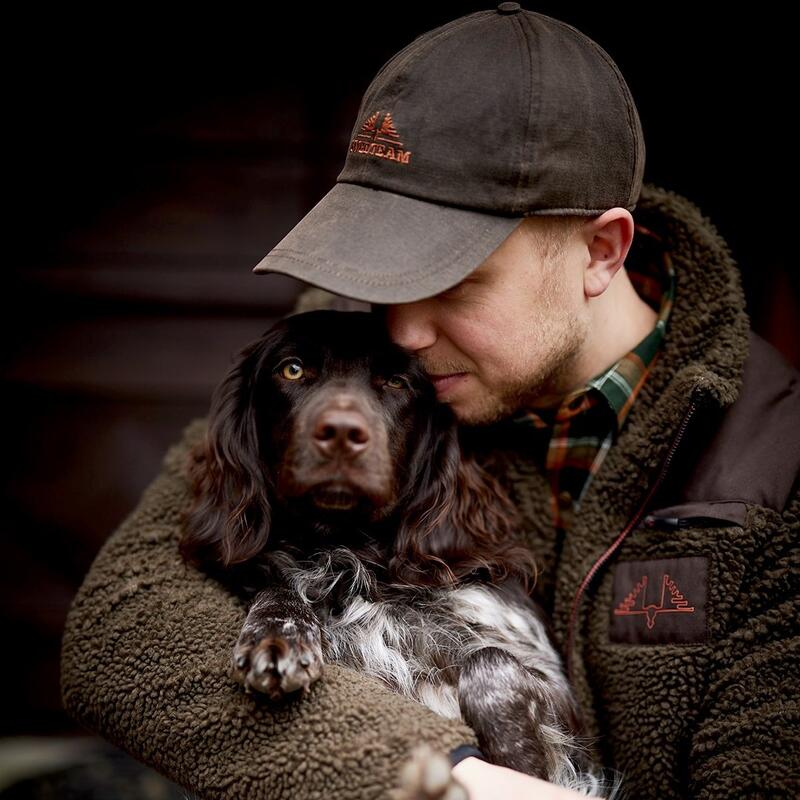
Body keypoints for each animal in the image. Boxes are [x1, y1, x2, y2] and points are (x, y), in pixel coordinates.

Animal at [178, 308, 620, 800]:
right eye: (291, 369)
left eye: (396, 382)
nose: (342, 433)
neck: (356, 557)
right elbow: (278, 592)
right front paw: (276, 637)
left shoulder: (562, 705)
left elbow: (488, 664)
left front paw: (516, 767)